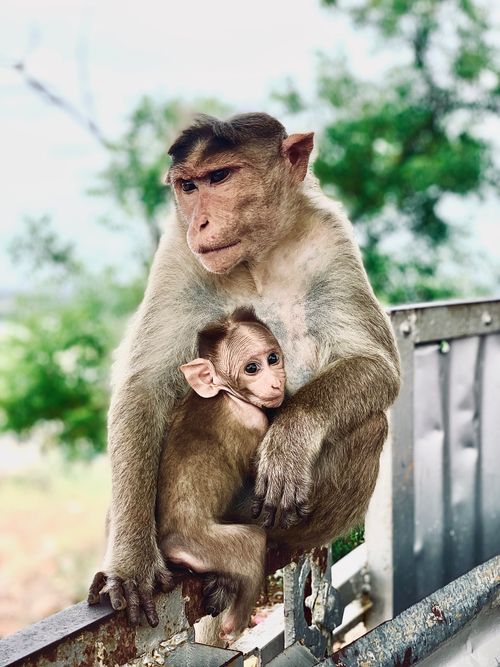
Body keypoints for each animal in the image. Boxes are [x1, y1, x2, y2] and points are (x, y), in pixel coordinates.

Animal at [155, 306, 285, 639]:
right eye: (252, 368)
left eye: (273, 359)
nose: (276, 383)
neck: (227, 393)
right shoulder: (253, 420)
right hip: (209, 544)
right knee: (252, 542)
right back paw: (232, 624)